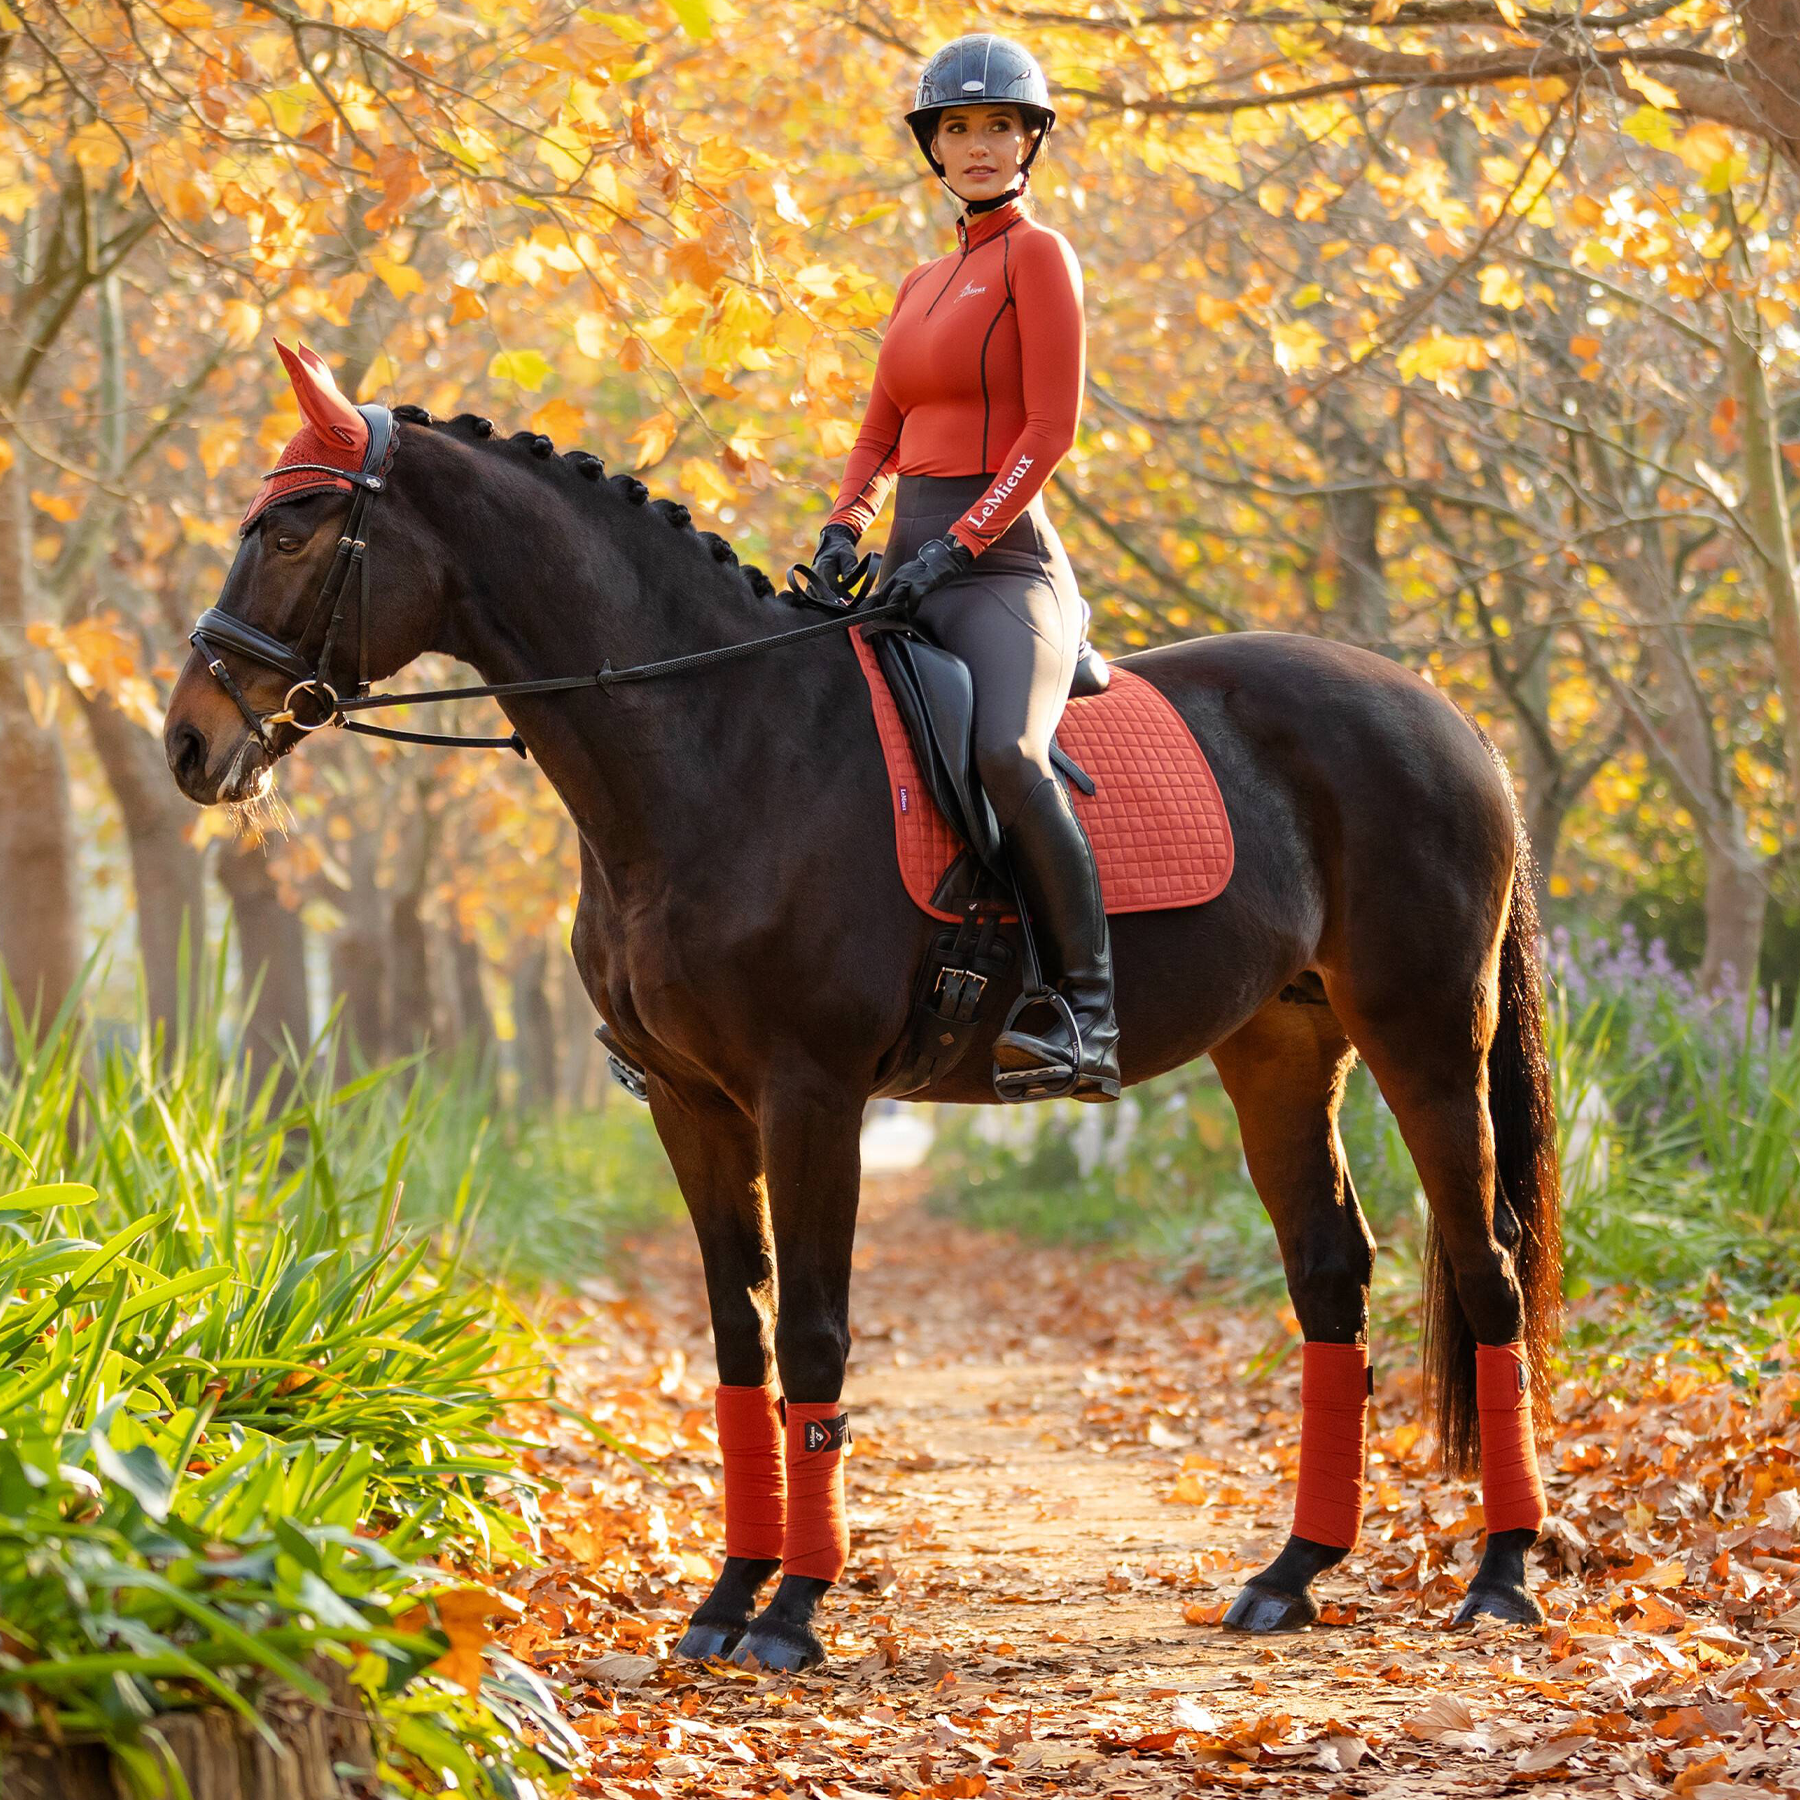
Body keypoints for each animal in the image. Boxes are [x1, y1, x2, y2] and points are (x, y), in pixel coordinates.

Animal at [169, 379, 1562, 1670]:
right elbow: (739, 1337)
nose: (190, 742)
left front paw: (792, 1612)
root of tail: (1445, 717)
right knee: (1331, 1274)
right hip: (1278, 1048)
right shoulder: (694, 1108)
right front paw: (726, 1597)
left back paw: (1502, 1575)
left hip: (1426, 1038)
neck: (718, 743)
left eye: (290, 529)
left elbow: (815, 1335)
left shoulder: (812, 1095)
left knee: (1486, 1270)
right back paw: (1292, 1574)